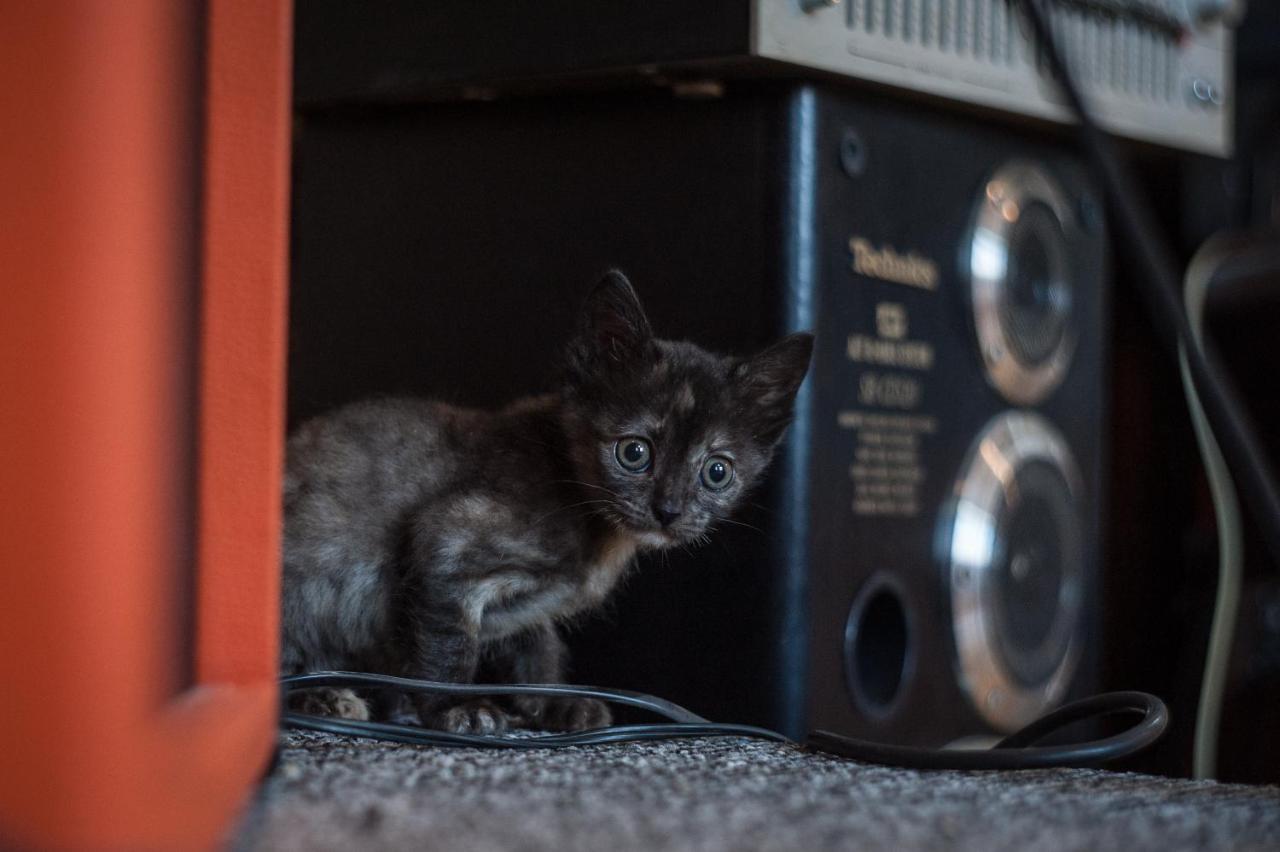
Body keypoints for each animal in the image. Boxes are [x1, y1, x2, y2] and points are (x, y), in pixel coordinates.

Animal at [285, 269, 814, 731]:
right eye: (634, 452)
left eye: (717, 471)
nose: (668, 511)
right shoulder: (447, 541)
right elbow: (450, 647)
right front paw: (456, 708)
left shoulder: (521, 609)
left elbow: (538, 648)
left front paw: (554, 705)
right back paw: (324, 696)